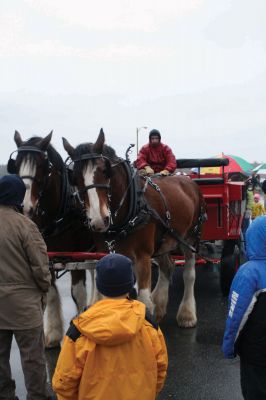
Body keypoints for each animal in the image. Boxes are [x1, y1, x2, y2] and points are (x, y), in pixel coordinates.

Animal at [7, 132, 93, 346]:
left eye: (42, 166)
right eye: (16, 164)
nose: (24, 206)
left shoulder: (76, 255)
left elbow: (77, 293)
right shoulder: (46, 255)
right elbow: (52, 291)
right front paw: (53, 334)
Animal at [62, 130, 206, 326]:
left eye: (105, 171)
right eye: (75, 178)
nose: (99, 220)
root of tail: (188, 181)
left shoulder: (143, 256)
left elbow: (144, 300)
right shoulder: (107, 254)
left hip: (189, 238)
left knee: (189, 274)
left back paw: (187, 315)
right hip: (163, 241)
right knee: (167, 267)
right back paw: (159, 308)